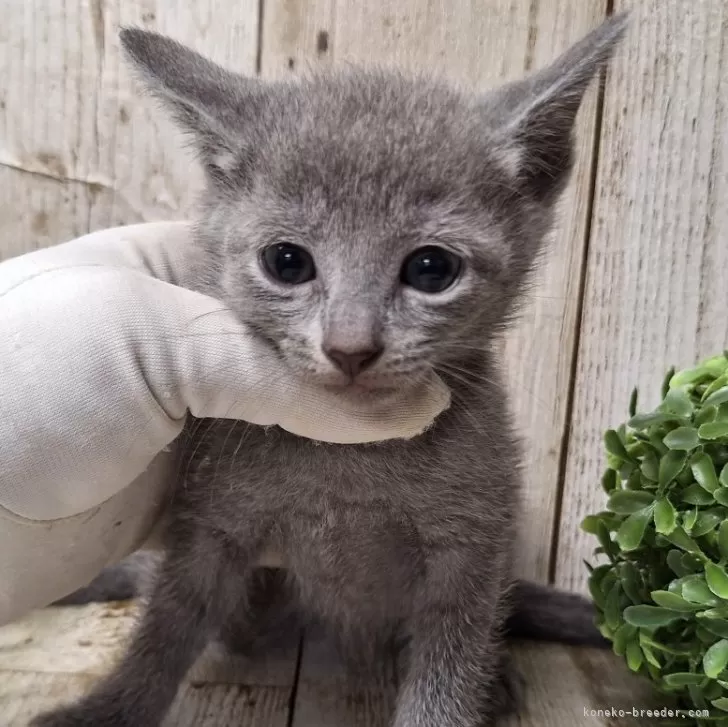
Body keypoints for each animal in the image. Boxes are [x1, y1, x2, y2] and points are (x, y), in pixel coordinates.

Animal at [34, 15, 624, 727]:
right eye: (287, 261)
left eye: (432, 269)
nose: (350, 346)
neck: (351, 462)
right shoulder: (210, 525)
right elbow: (165, 628)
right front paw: (109, 709)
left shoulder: (474, 547)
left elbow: (451, 665)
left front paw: (462, 695)